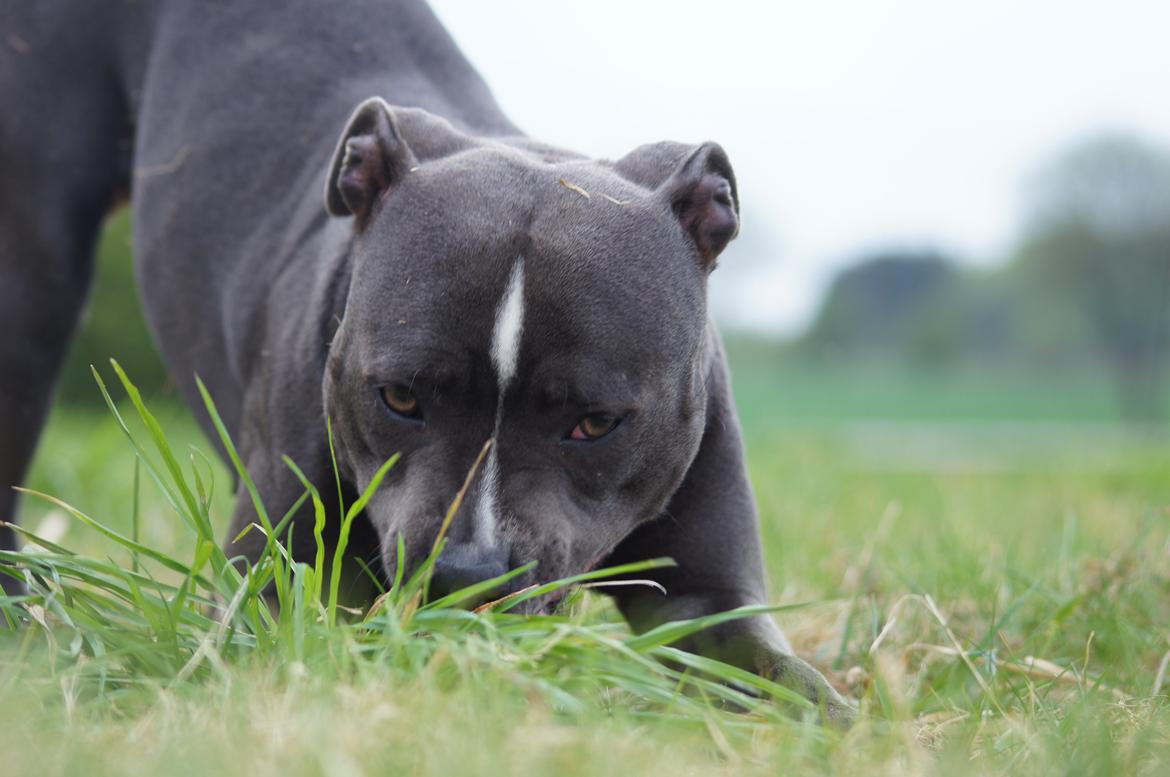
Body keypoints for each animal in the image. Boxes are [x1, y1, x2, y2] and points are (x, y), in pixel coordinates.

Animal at [0, 0, 856, 720]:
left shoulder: (708, 598)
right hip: (32, 281)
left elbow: (777, 678)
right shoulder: (277, 581)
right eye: (401, 397)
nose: (467, 573)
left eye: (596, 422)